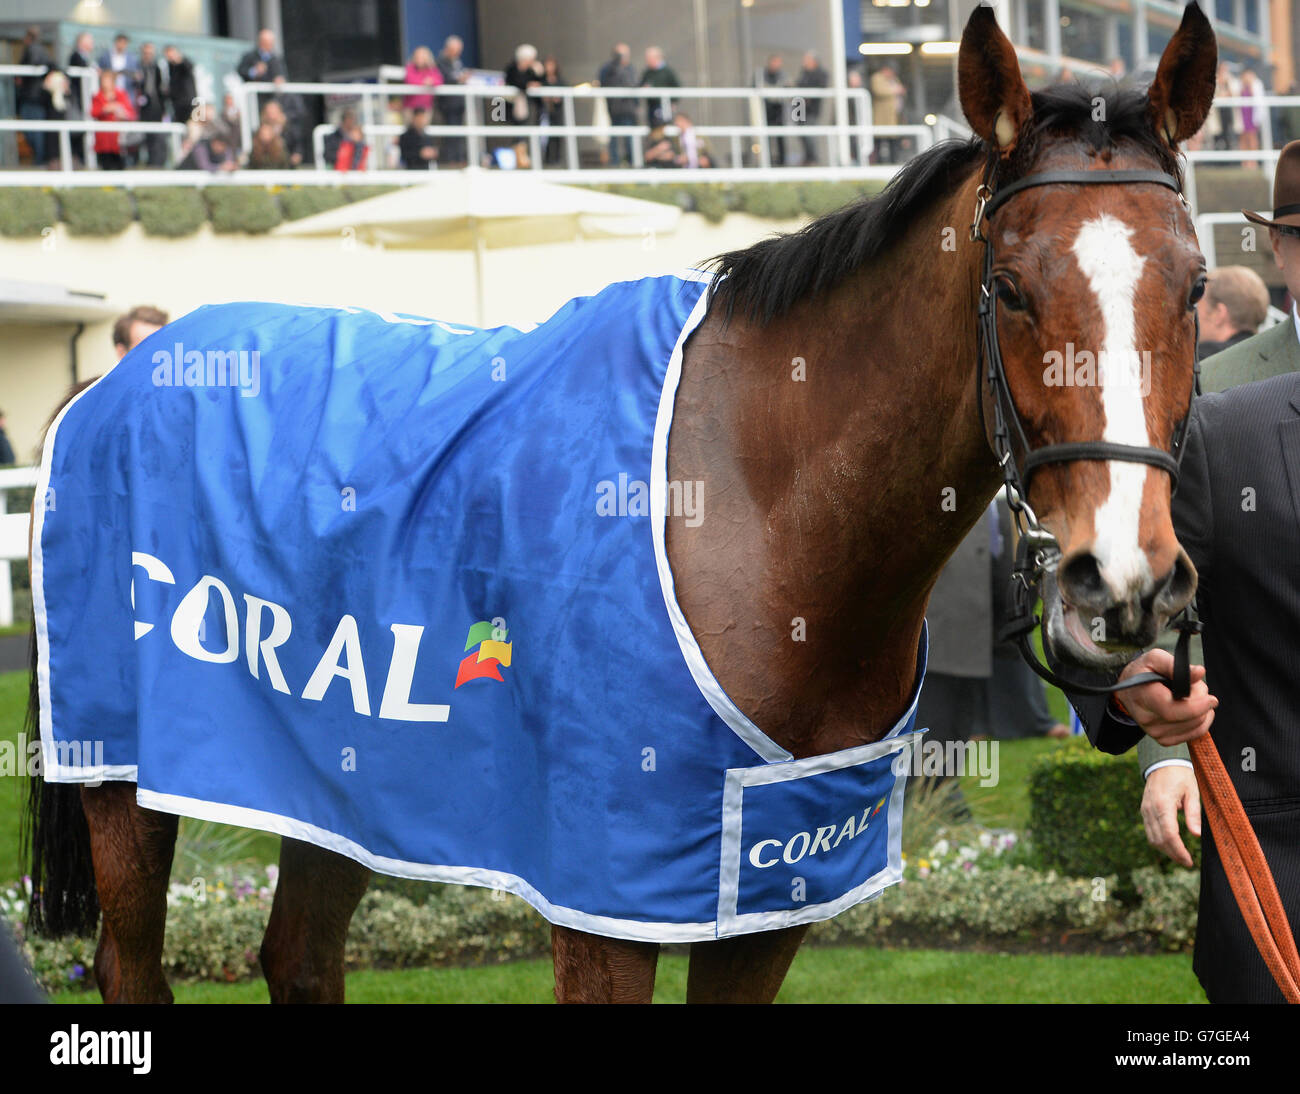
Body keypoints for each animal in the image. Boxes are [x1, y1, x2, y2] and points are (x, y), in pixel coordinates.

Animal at [20, 4, 1216, 1003]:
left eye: (1196, 282)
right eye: (1009, 287)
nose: (1124, 580)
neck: (758, 513)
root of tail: (115, 376)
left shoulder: (771, 886)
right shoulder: (607, 895)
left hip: (331, 781)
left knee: (301, 956)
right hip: (126, 777)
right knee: (133, 962)